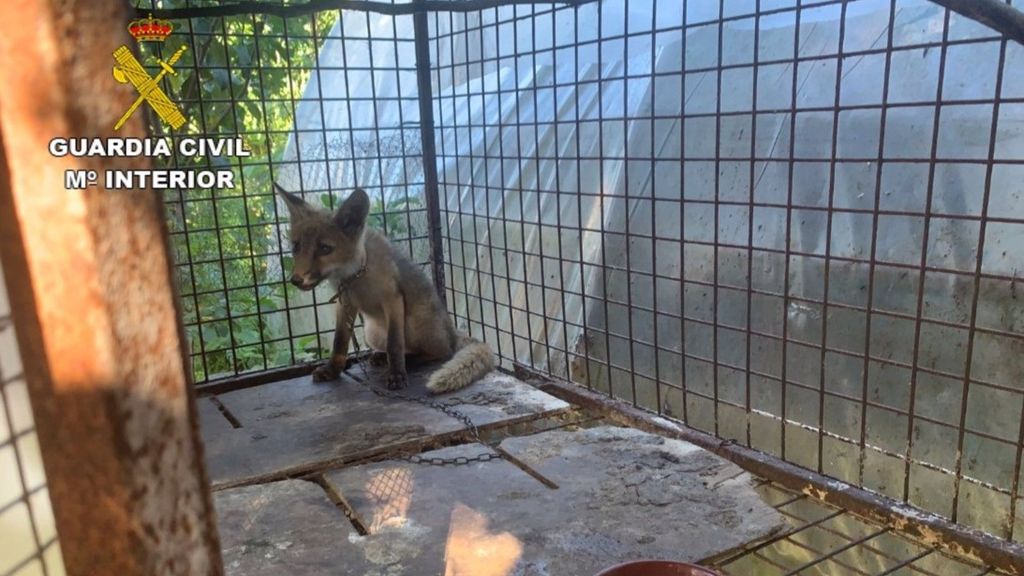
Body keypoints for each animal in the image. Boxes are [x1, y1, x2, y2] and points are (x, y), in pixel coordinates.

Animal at [274, 183, 493, 389]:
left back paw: (407, 362)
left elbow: (394, 344)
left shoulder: (392, 299)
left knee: (439, 352)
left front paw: (396, 374)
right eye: (296, 246)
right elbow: (339, 342)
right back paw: (382, 357)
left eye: (325, 249)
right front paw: (333, 370)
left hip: (415, 323)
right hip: (371, 332)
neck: (357, 277)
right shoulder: (345, 303)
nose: (296, 280)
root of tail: (451, 332)